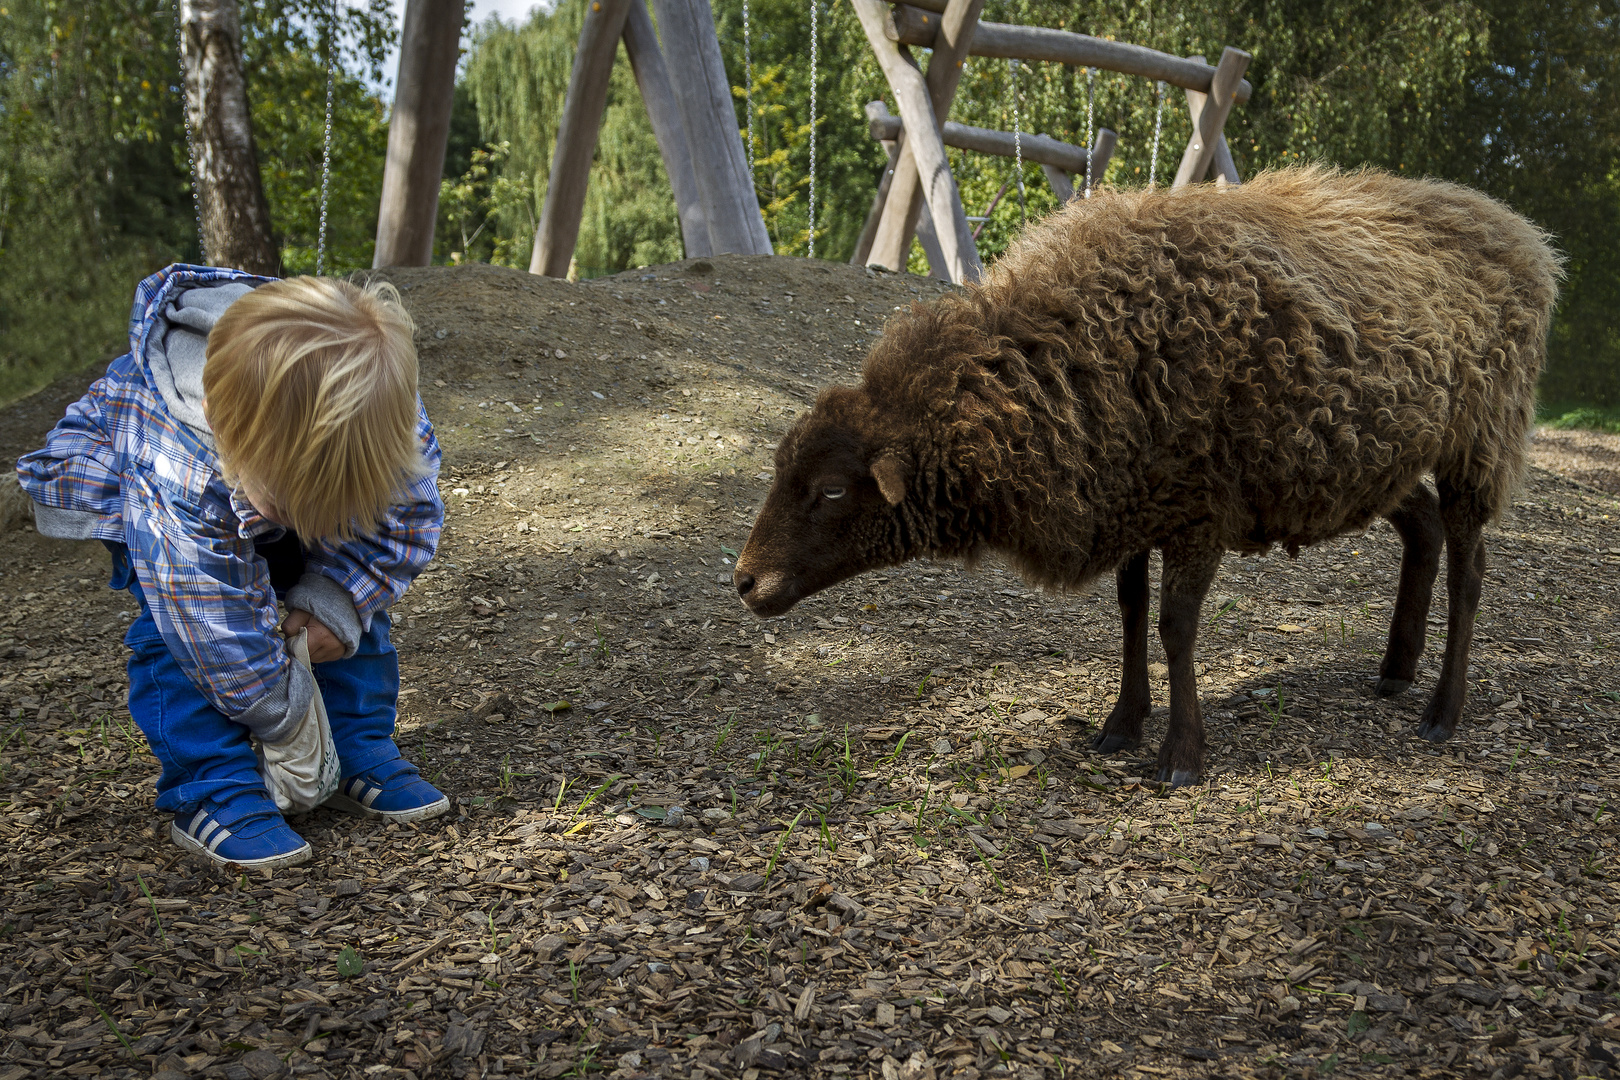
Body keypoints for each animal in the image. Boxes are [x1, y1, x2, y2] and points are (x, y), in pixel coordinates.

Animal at [735, 166, 1555, 786]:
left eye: (832, 489)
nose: (743, 581)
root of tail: (1518, 228)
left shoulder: (1198, 510)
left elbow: (1174, 628)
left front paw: (1181, 755)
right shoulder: (1131, 499)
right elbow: (1130, 614)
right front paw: (1121, 724)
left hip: (1480, 441)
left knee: (1469, 568)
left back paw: (1443, 711)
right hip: (1376, 458)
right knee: (1421, 526)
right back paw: (1394, 669)